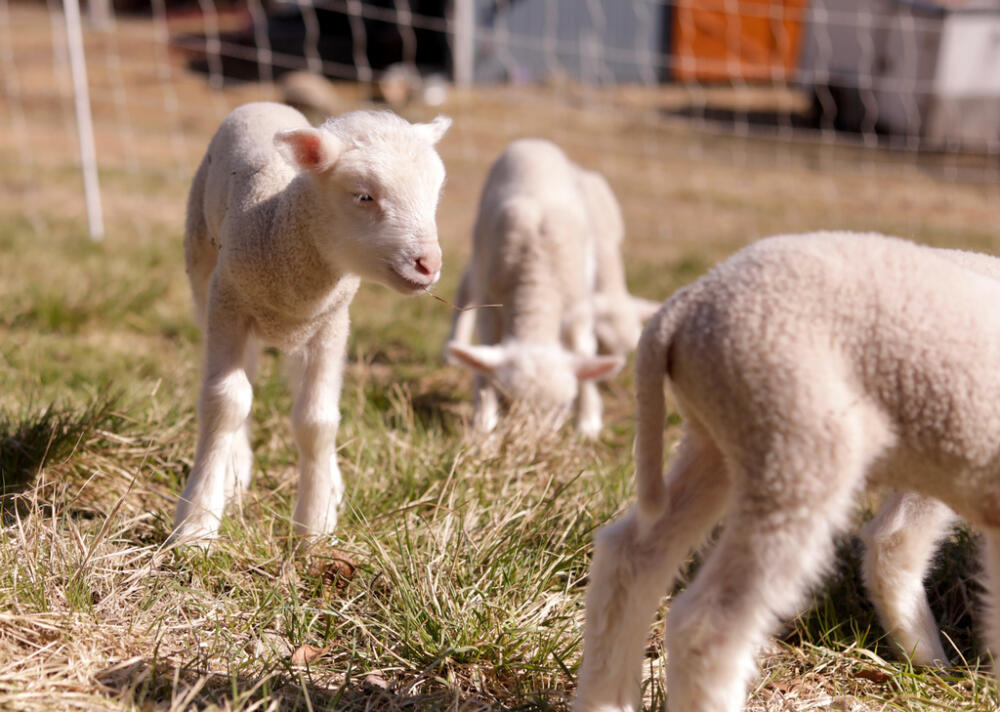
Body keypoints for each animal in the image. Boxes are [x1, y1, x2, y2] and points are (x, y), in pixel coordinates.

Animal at [173, 102, 451, 543]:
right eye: (364, 196)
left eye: (435, 195)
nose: (429, 264)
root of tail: (263, 103)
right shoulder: (228, 304)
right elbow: (225, 403)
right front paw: (197, 523)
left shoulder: (330, 326)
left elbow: (317, 420)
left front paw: (314, 526)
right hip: (203, 269)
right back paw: (234, 470)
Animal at [444, 138, 626, 437]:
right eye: (506, 401)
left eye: (564, 407)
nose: (533, 443)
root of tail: (532, 142)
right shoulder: (489, 300)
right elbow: (486, 355)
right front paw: (484, 420)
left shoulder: (578, 307)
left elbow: (583, 352)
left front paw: (588, 421)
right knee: (465, 286)